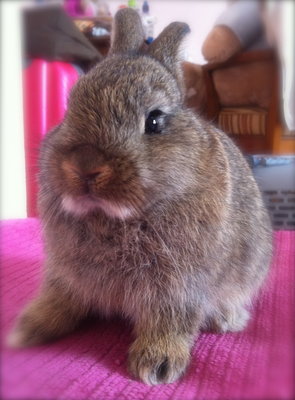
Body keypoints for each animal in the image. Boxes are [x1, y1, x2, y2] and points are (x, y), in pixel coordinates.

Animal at [7, 8, 272, 384]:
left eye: (155, 121)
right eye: (69, 107)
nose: (84, 166)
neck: (114, 217)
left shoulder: (179, 288)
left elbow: (170, 320)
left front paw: (157, 365)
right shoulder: (65, 275)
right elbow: (60, 301)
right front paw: (28, 328)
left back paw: (227, 320)